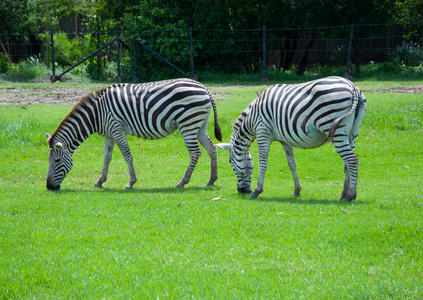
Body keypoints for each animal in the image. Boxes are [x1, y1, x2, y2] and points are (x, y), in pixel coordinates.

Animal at [46, 77, 224, 190]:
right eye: (49, 161)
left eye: (57, 160)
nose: (49, 187)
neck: (96, 114)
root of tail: (204, 88)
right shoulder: (109, 134)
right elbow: (107, 158)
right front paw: (100, 181)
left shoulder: (117, 130)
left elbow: (126, 155)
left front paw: (131, 182)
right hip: (199, 125)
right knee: (212, 148)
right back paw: (212, 180)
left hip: (188, 123)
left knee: (195, 153)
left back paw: (183, 181)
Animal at [217, 76, 366, 200]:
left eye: (230, 162)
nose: (242, 191)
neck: (251, 119)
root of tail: (353, 86)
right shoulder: (285, 140)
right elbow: (292, 164)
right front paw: (297, 190)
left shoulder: (262, 132)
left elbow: (263, 163)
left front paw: (257, 191)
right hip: (352, 133)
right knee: (347, 163)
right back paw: (343, 194)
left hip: (334, 128)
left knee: (352, 161)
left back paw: (351, 195)